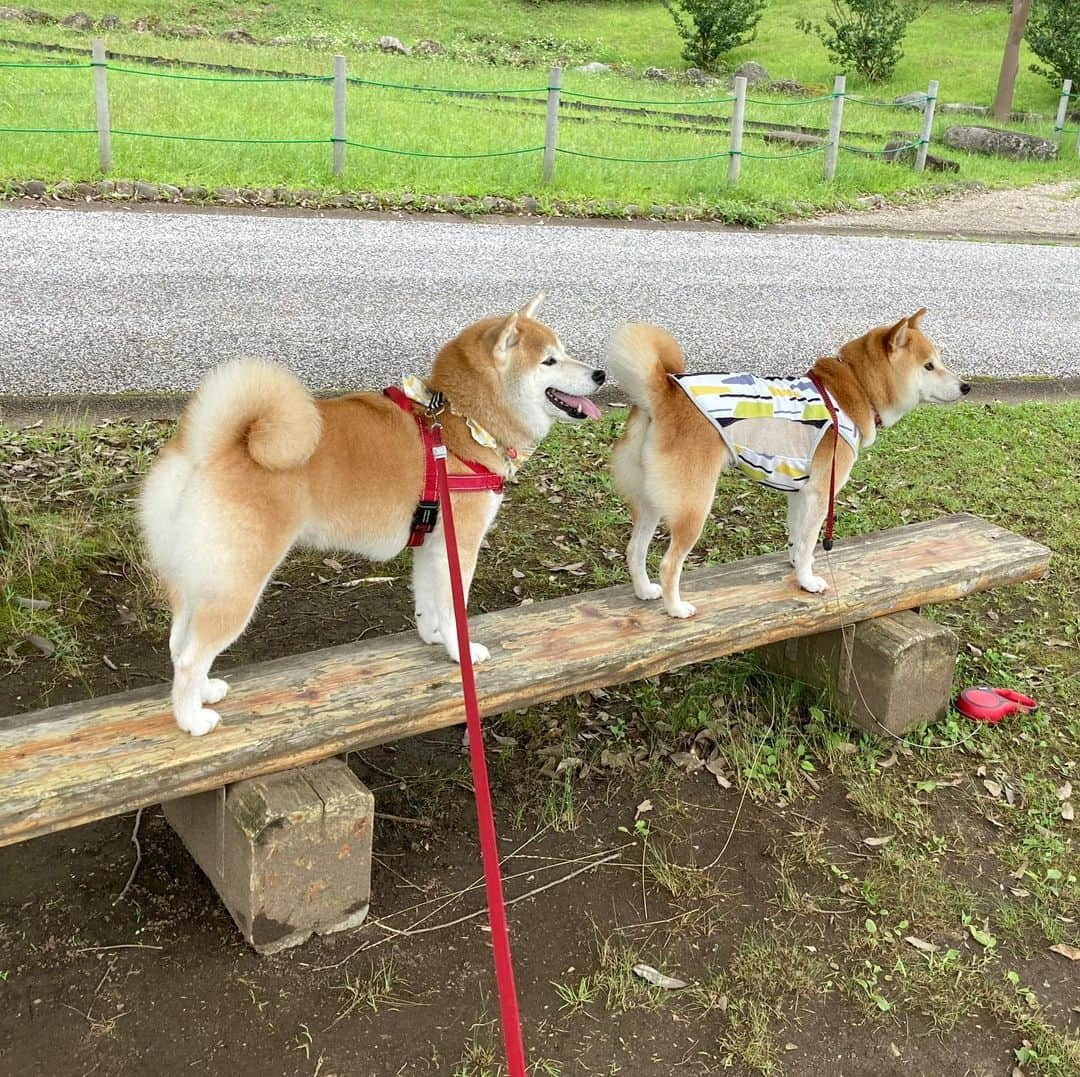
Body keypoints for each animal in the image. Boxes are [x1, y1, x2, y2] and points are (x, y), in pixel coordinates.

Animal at [141, 293, 609, 730]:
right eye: (550, 360)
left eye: (564, 351)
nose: (601, 374)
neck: (461, 424)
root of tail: (207, 447)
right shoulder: (458, 546)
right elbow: (452, 609)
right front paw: (460, 653)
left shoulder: (431, 544)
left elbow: (427, 601)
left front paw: (432, 636)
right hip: (238, 582)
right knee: (191, 656)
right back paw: (192, 719)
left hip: (196, 576)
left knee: (179, 644)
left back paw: (204, 691)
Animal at [609, 306, 972, 617]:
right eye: (929, 366)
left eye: (938, 362)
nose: (966, 386)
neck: (856, 389)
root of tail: (664, 392)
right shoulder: (820, 494)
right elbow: (811, 542)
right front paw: (808, 581)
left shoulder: (800, 493)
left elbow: (798, 540)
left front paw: (797, 567)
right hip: (693, 504)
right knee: (669, 563)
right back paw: (676, 609)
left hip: (651, 499)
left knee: (634, 549)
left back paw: (644, 591)